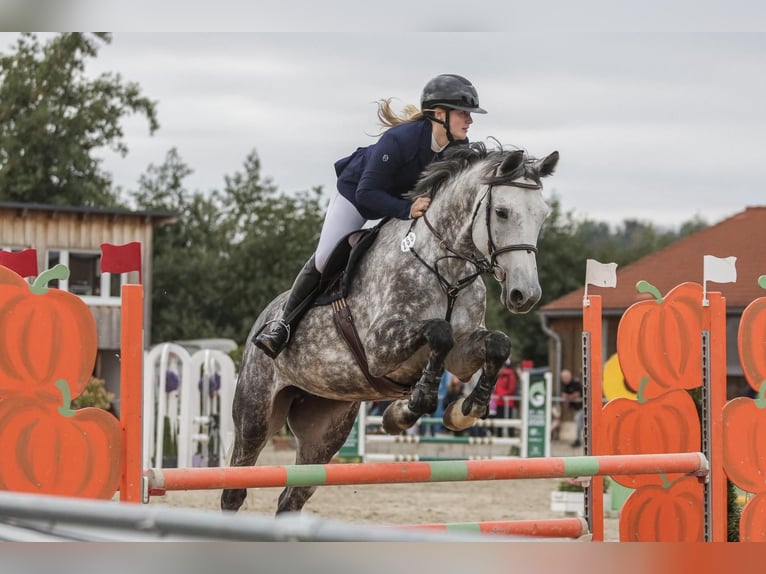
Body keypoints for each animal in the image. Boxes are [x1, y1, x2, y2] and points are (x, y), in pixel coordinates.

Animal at [221, 142, 559, 514]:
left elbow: (497, 343)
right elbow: (438, 331)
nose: (525, 295)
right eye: (501, 212)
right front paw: (412, 405)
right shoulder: (379, 348)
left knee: (292, 497)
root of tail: (264, 318)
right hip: (256, 414)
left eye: (542, 215)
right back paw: (274, 336)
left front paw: (464, 411)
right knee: (235, 487)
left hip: (325, 428)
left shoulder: (461, 355)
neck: (447, 271)